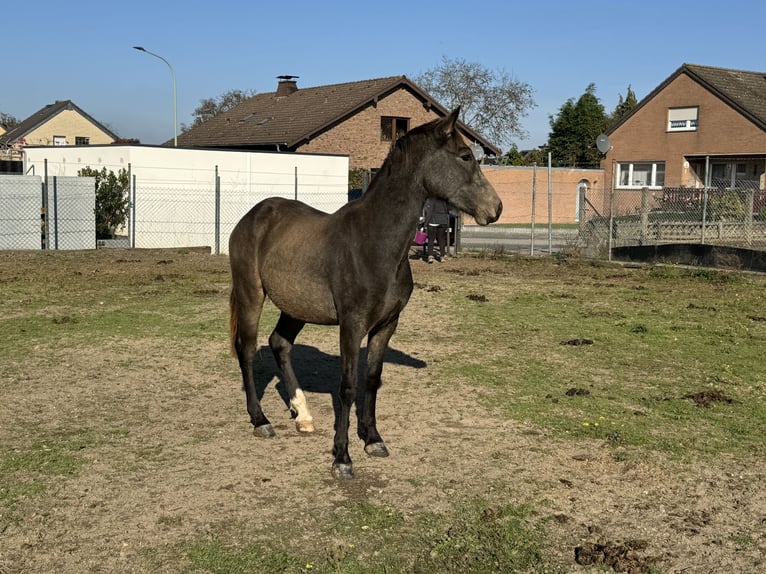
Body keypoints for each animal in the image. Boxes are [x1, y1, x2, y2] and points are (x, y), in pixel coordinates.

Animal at [228, 110, 504, 480]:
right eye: (464, 156)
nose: (496, 208)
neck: (374, 242)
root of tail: (253, 215)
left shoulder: (386, 325)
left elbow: (372, 381)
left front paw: (373, 439)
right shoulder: (351, 325)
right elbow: (347, 386)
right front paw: (342, 457)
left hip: (296, 306)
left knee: (279, 343)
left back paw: (303, 415)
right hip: (251, 294)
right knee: (246, 349)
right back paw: (260, 420)